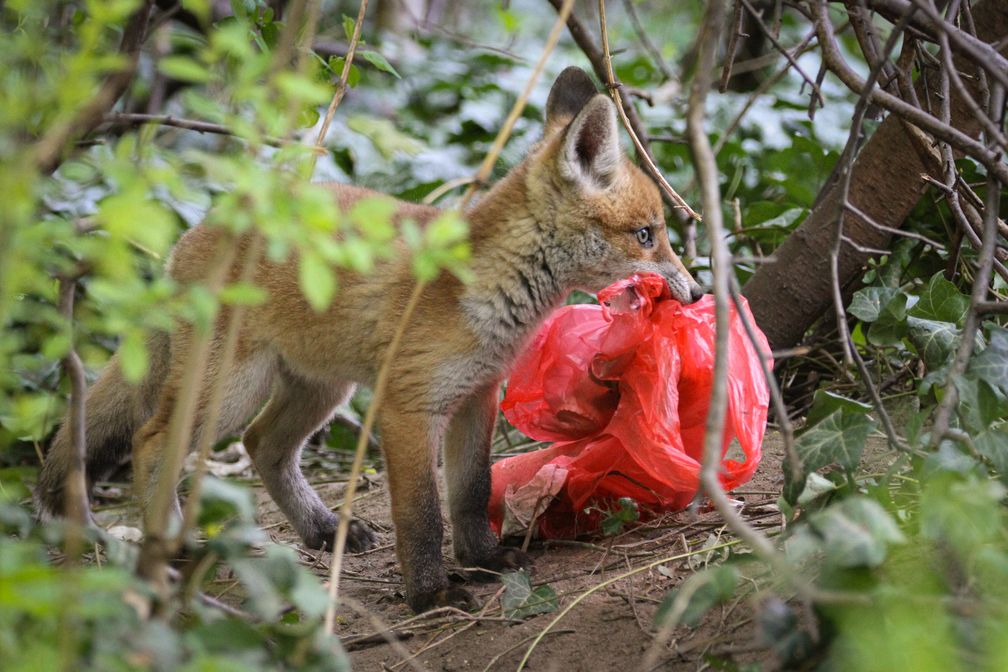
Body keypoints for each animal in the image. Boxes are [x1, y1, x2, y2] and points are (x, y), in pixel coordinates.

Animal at [35, 65, 705, 612]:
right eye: (647, 235)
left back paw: (322, 530)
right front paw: (431, 595)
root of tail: (189, 235)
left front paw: (485, 560)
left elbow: (470, 492)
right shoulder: (406, 406)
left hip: (319, 388)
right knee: (152, 443)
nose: (697, 292)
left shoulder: (475, 396)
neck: (487, 287)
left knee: (263, 446)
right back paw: (170, 547)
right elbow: (421, 514)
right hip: (233, 387)